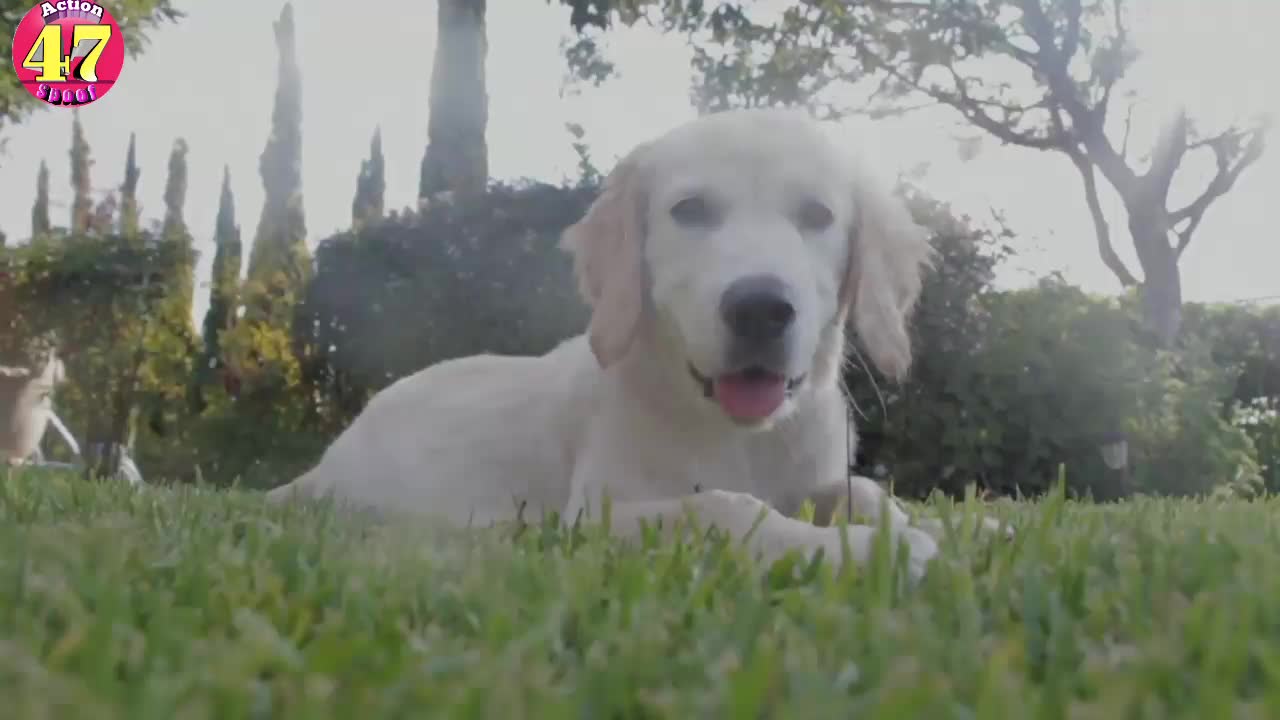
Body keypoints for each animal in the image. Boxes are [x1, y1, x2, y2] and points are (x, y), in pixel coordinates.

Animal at [272, 105, 962, 576]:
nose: (761, 309)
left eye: (817, 215)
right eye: (690, 210)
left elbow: (865, 490)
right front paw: (871, 550)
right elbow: (724, 506)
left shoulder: (816, 474)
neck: (737, 435)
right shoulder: (598, 513)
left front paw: (950, 526)